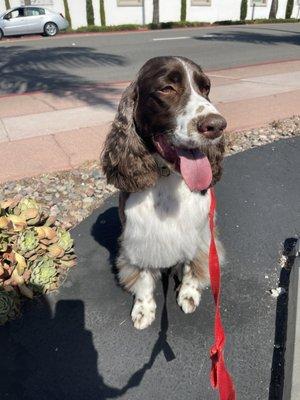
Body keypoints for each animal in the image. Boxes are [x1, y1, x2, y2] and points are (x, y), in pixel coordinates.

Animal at [102, 57, 226, 332]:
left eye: (206, 88)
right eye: (167, 88)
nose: (217, 125)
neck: (167, 176)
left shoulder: (200, 236)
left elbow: (191, 267)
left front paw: (188, 294)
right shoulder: (138, 240)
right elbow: (143, 279)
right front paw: (143, 310)